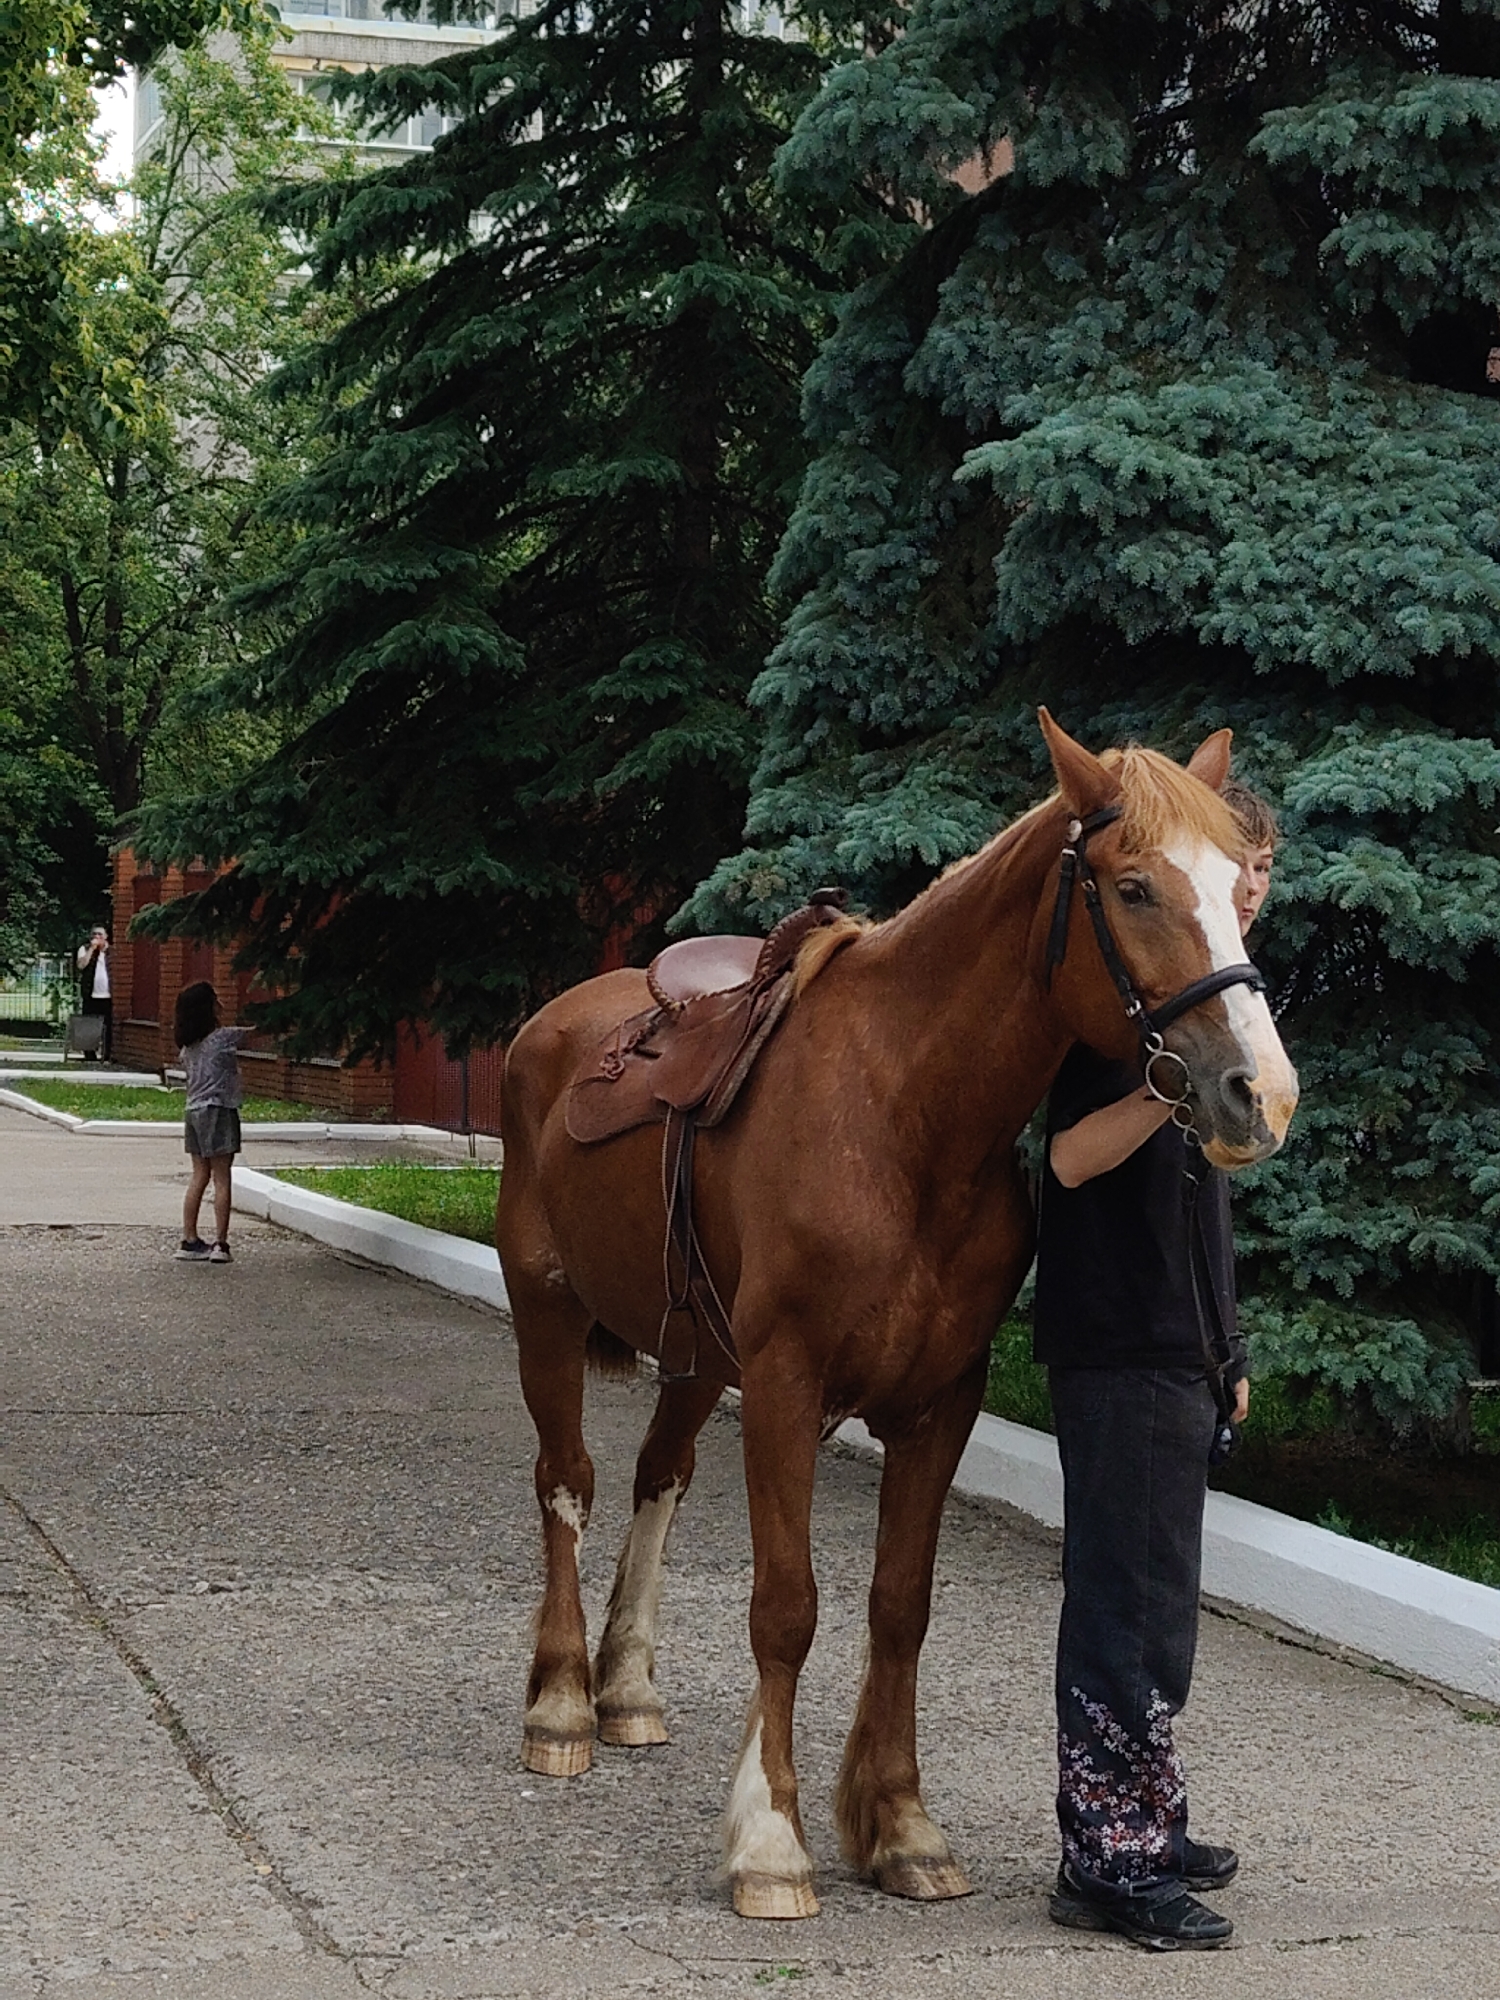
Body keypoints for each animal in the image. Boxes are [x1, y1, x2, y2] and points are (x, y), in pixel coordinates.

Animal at [494, 710, 1298, 1921]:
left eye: (1240, 896)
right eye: (1135, 888)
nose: (1261, 1093)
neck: (905, 1114)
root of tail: (549, 1025)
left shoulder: (941, 1399)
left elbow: (898, 1604)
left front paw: (902, 1826)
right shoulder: (785, 1384)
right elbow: (788, 1606)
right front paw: (771, 1839)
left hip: (695, 1355)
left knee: (655, 1478)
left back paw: (625, 1686)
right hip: (545, 1310)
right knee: (569, 1481)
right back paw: (561, 1703)